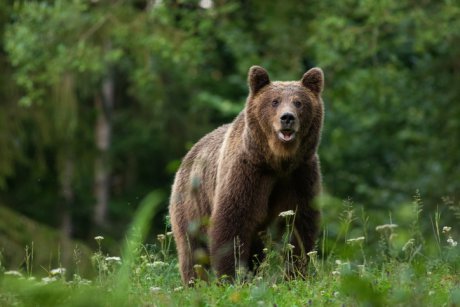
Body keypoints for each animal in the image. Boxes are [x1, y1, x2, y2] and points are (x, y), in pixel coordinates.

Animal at [169, 66, 324, 286]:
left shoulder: (300, 175)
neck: (277, 161)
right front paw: (231, 277)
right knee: (192, 249)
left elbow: (301, 225)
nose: (287, 118)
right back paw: (195, 283)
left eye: (298, 102)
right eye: (274, 101)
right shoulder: (247, 173)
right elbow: (232, 223)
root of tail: (189, 154)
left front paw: (295, 274)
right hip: (192, 203)